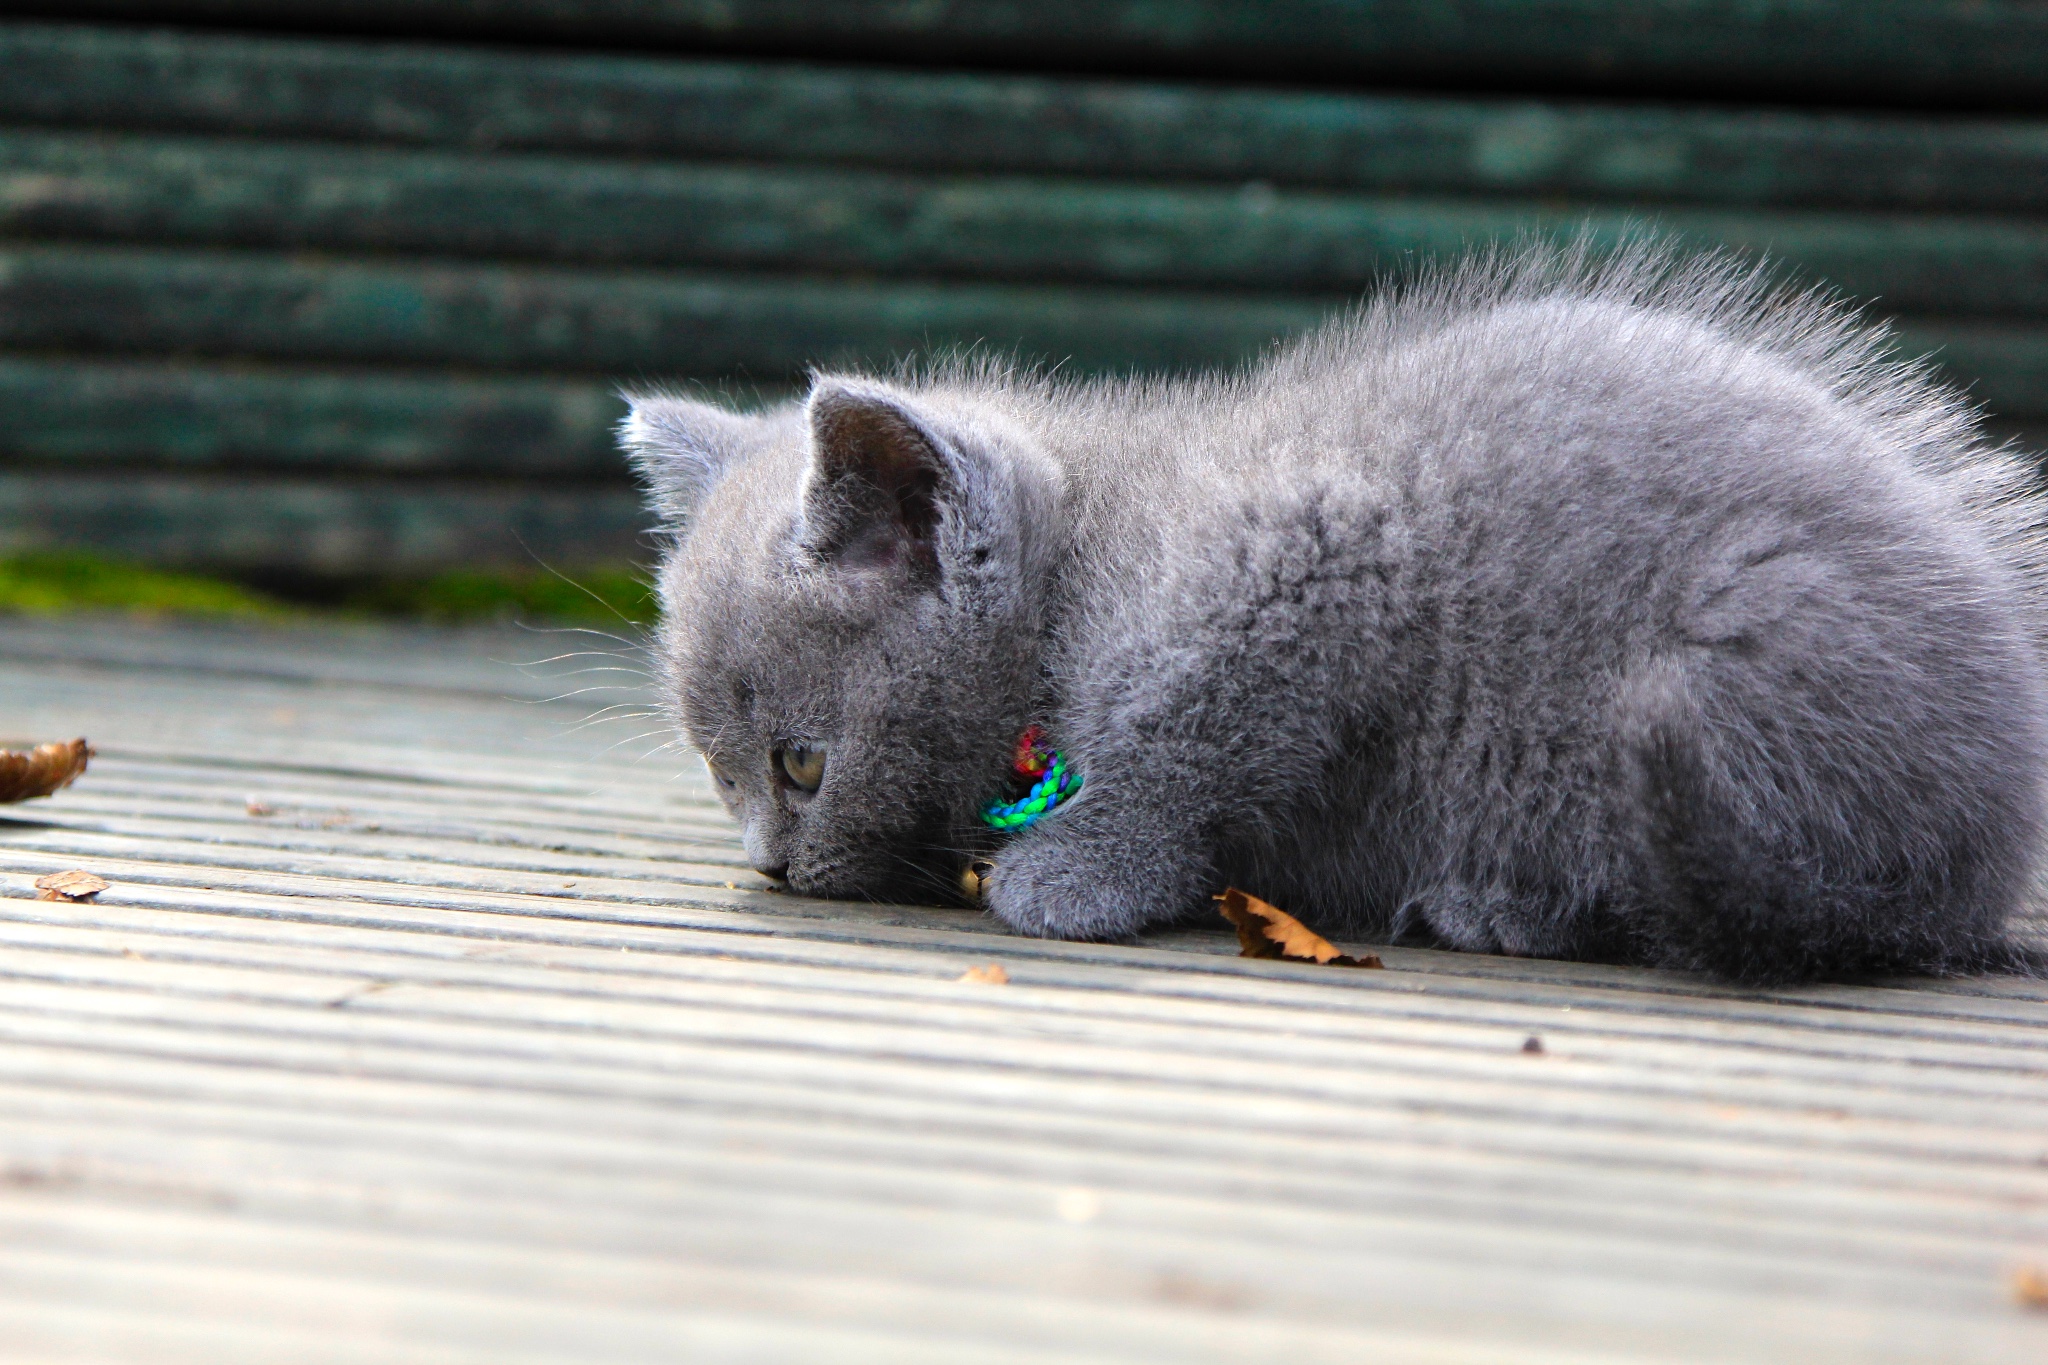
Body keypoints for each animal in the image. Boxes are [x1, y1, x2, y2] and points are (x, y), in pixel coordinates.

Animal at [622, 245, 2048, 982]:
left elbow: (1182, 748)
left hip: (1753, 644)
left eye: (800, 765)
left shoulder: (1315, 560)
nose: (768, 865)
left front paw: (1074, 875)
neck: (1080, 577)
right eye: (718, 775)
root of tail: (1989, 855)